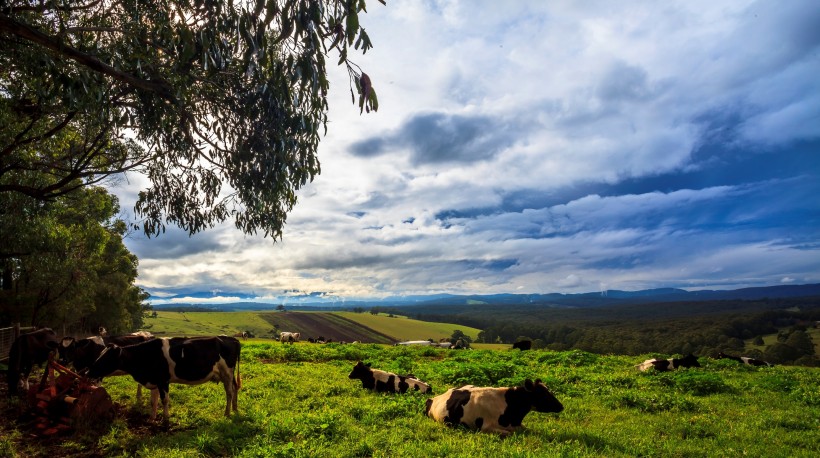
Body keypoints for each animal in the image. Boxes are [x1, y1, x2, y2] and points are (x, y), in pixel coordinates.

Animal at [87, 334, 240, 424]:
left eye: (106, 358)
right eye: (100, 354)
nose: (88, 371)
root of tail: (231, 339)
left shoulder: (163, 381)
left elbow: (164, 400)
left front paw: (165, 419)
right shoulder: (154, 381)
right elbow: (153, 401)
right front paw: (152, 419)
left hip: (227, 372)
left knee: (229, 392)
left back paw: (227, 413)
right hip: (228, 374)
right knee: (235, 388)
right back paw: (235, 408)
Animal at [422, 380, 564, 436]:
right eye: (543, 394)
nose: (561, 406)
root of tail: (433, 398)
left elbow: (528, 430)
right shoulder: (486, 427)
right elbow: (509, 433)